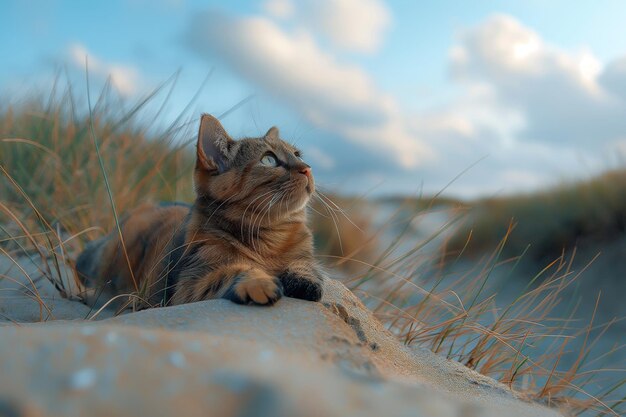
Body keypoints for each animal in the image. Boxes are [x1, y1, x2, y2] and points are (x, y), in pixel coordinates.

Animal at [75, 112, 324, 308]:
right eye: (269, 160)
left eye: (297, 154)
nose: (308, 168)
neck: (271, 238)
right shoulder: (190, 283)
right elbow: (233, 271)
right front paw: (257, 280)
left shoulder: (304, 255)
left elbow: (304, 265)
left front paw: (303, 280)